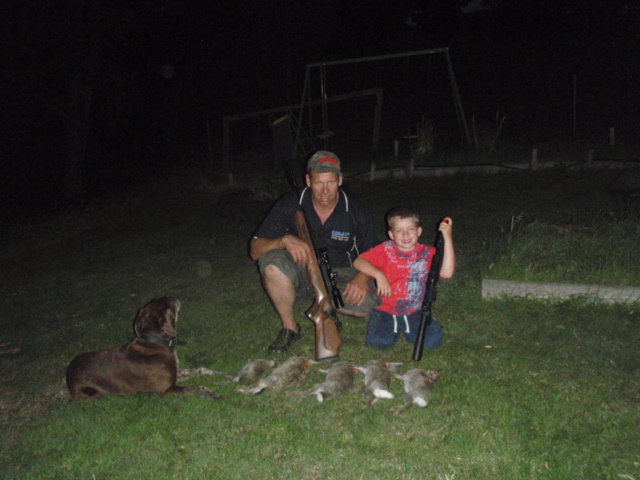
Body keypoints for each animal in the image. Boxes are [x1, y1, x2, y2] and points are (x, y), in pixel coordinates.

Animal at [65, 298, 220, 400]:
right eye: (167, 302)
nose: (174, 297)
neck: (155, 342)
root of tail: (68, 371)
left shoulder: (176, 374)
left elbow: (199, 370)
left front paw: (215, 372)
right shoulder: (166, 389)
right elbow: (196, 388)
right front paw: (211, 393)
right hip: (93, 392)